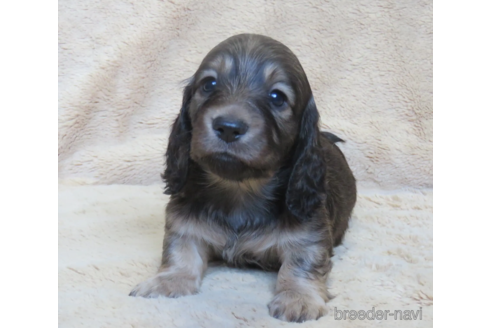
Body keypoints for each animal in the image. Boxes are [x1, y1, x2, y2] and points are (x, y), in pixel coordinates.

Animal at [129, 34, 356, 322]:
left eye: (277, 97)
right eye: (209, 84)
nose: (228, 127)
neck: (240, 190)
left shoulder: (310, 235)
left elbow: (300, 265)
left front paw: (298, 298)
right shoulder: (184, 224)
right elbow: (180, 253)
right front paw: (166, 282)